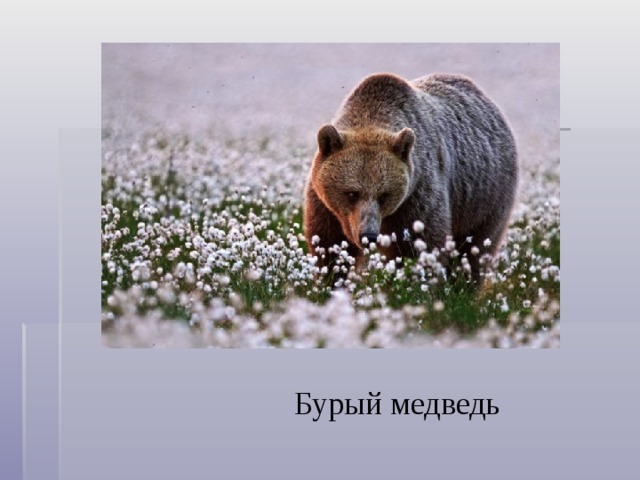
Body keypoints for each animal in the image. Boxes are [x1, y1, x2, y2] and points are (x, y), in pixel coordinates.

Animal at [303, 72, 518, 283]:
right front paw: (330, 281)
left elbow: (419, 246)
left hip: (485, 198)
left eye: (384, 195)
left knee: (475, 249)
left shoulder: (416, 197)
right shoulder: (326, 206)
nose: (368, 236)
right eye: (351, 193)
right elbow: (329, 245)